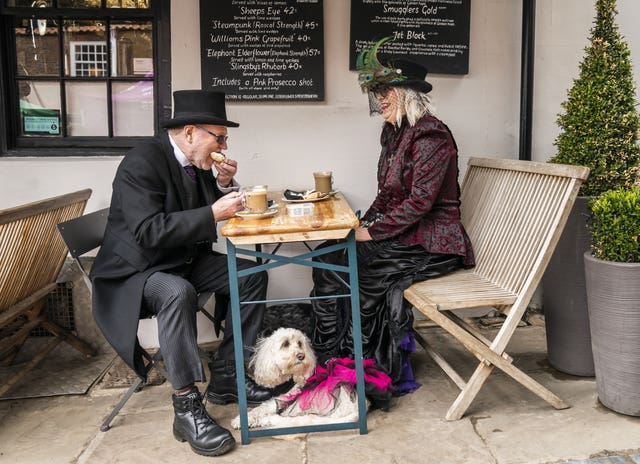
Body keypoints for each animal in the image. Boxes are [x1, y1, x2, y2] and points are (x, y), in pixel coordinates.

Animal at [230, 326, 362, 428]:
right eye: (285, 344)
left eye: (299, 343)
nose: (301, 356)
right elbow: (259, 408)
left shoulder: (281, 399)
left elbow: (261, 409)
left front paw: (244, 420)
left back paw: (266, 420)